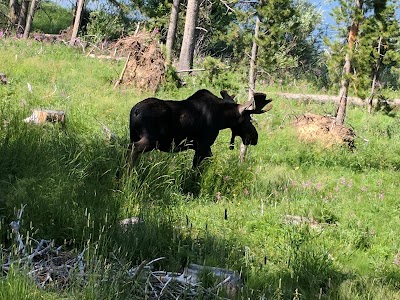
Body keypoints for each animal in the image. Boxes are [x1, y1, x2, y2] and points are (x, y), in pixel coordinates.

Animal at [128, 89, 272, 169]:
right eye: (248, 119)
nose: (254, 137)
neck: (221, 119)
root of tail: (135, 111)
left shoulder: (203, 148)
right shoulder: (203, 145)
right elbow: (195, 169)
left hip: (133, 135)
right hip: (149, 140)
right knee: (135, 149)